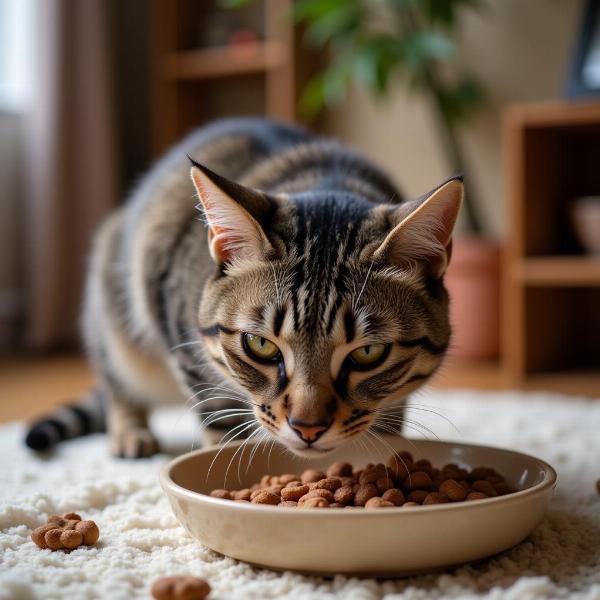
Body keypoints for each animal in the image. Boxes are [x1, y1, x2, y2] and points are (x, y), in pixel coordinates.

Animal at [23, 119, 462, 462]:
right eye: (260, 345)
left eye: (369, 353)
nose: (307, 427)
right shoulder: (178, 328)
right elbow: (220, 412)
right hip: (112, 314)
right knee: (118, 384)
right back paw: (131, 432)